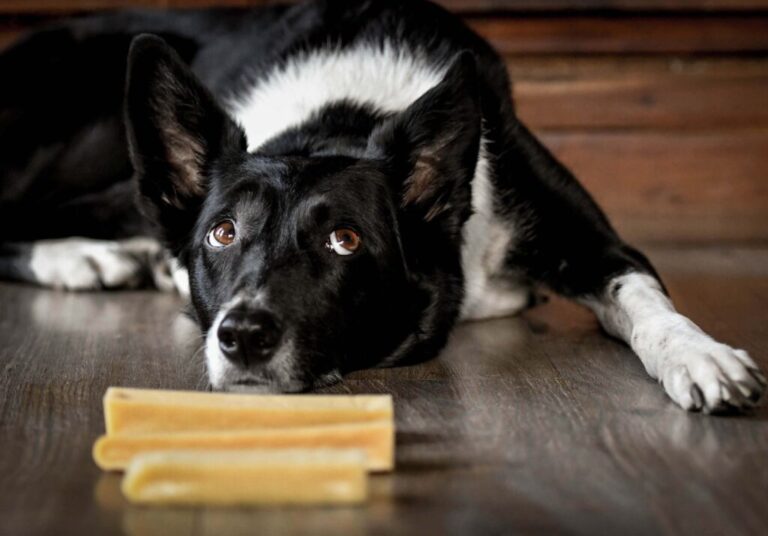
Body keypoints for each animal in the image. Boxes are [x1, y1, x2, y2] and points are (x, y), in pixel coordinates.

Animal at [0, 0, 764, 410]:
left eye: (346, 240)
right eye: (221, 234)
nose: (240, 337)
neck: (343, 115)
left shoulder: (592, 240)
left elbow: (642, 297)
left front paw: (700, 355)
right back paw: (86, 261)